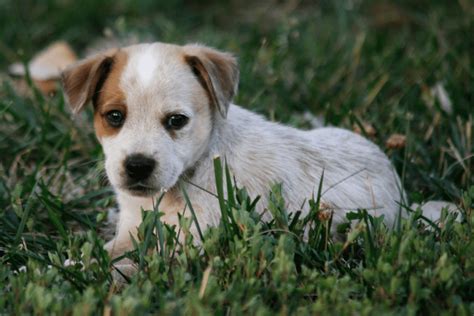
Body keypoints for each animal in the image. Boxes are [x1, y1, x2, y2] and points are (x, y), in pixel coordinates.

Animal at [62, 41, 452, 260]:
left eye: (176, 121)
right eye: (114, 117)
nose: (138, 166)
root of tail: (403, 196)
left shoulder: (190, 243)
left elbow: (127, 268)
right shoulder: (132, 230)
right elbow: (99, 256)